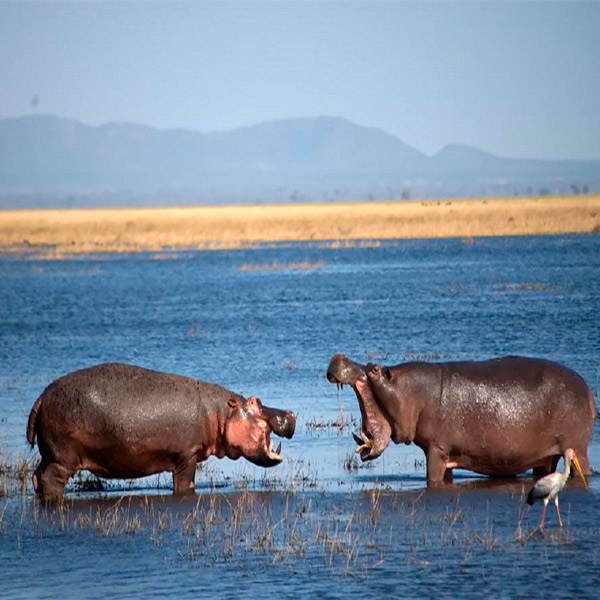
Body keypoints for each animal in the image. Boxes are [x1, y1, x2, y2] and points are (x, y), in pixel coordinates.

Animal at [27, 364, 296, 500]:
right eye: (252, 402)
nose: (290, 413)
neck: (219, 415)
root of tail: (41, 398)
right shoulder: (187, 456)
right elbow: (186, 484)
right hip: (62, 458)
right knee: (50, 480)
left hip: (49, 455)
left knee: (37, 476)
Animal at [328, 354, 596, 486]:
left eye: (374, 369)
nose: (339, 356)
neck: (410, 391)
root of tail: (586, 388)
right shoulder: (445, 453)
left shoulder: (436, 449)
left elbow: (433, 479)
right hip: (546, 456)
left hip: (577, 448)